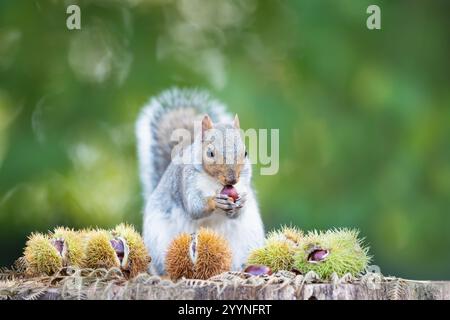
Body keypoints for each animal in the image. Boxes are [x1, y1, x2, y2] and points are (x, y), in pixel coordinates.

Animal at [135, 88, 266, 276]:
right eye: (210, 153)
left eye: (246, 153)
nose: (233, 179)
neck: (215, 184)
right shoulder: (187, 181)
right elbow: (194, 208)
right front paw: (215, 201)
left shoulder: (244, 182)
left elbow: (237, 213)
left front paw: (242, 201)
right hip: (159, 240)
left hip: (247, 240)